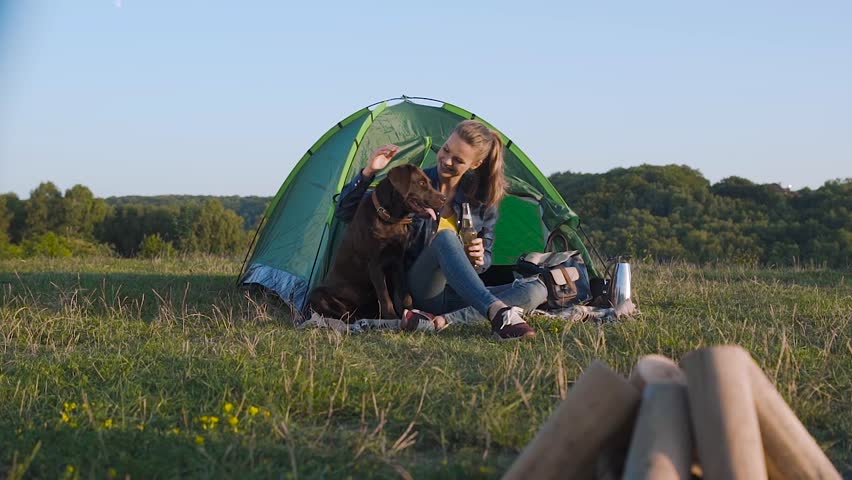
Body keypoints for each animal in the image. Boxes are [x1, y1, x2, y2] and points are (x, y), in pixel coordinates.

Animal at [312, 163, 446, 320]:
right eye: (421, 183)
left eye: (429, 183)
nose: (444, 198)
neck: (390, 218)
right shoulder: (375, 264)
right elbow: (384, 295)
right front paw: (392, 317)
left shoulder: (398, 260)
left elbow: (405, 294)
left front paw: (408, 312)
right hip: (318, 295)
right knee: (342, 315)